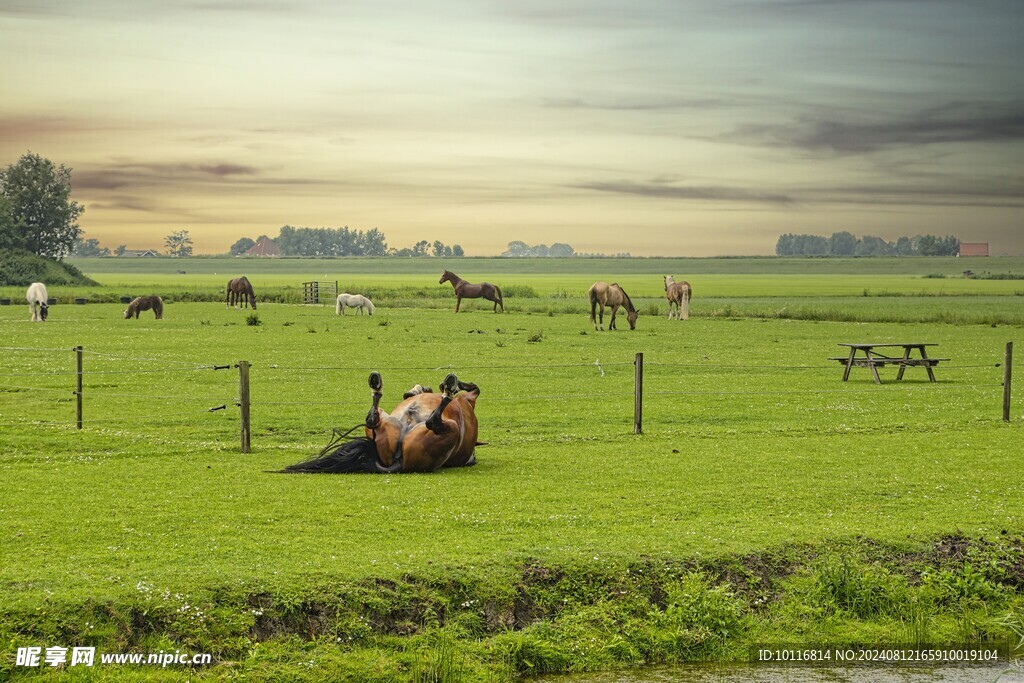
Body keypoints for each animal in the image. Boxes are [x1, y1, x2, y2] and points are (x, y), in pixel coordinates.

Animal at [278, 374, 481, 475]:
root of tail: (399, 463)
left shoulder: (470, 398)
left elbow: (475, 387)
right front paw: (421, 388)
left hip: (452, 428)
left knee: (432, 421)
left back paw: (448, 388)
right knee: (373, 418)